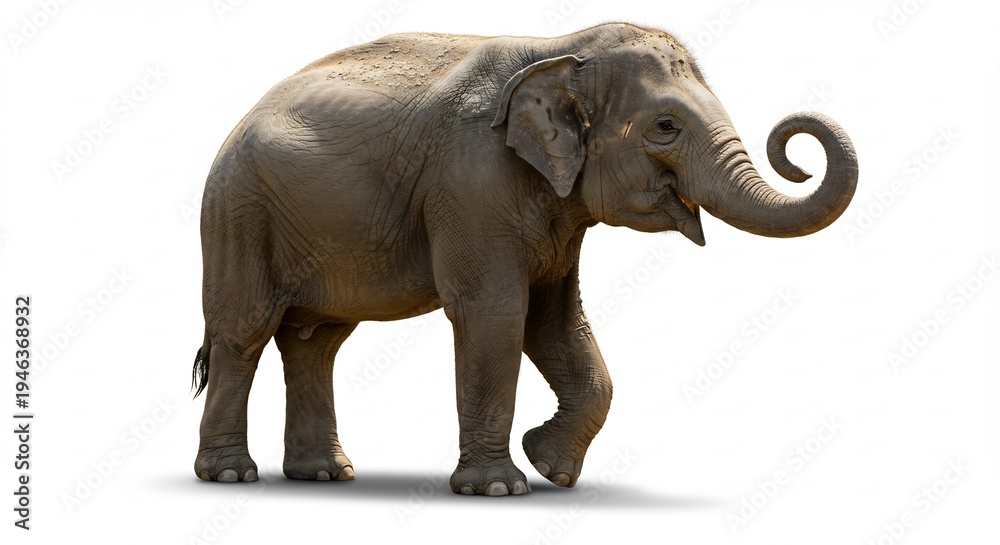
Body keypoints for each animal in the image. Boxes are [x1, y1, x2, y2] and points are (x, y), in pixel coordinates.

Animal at [191, 22, 857, 496]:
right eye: (665, 126)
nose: (796, 150)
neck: (560, 48)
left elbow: (554, 321)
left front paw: (550, 467)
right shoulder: (472, 183)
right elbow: (496, 314)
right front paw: (499, 488)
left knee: (316, 340)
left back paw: (326, 475)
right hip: (237, 212)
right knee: (244, 331)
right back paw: (230, 476)